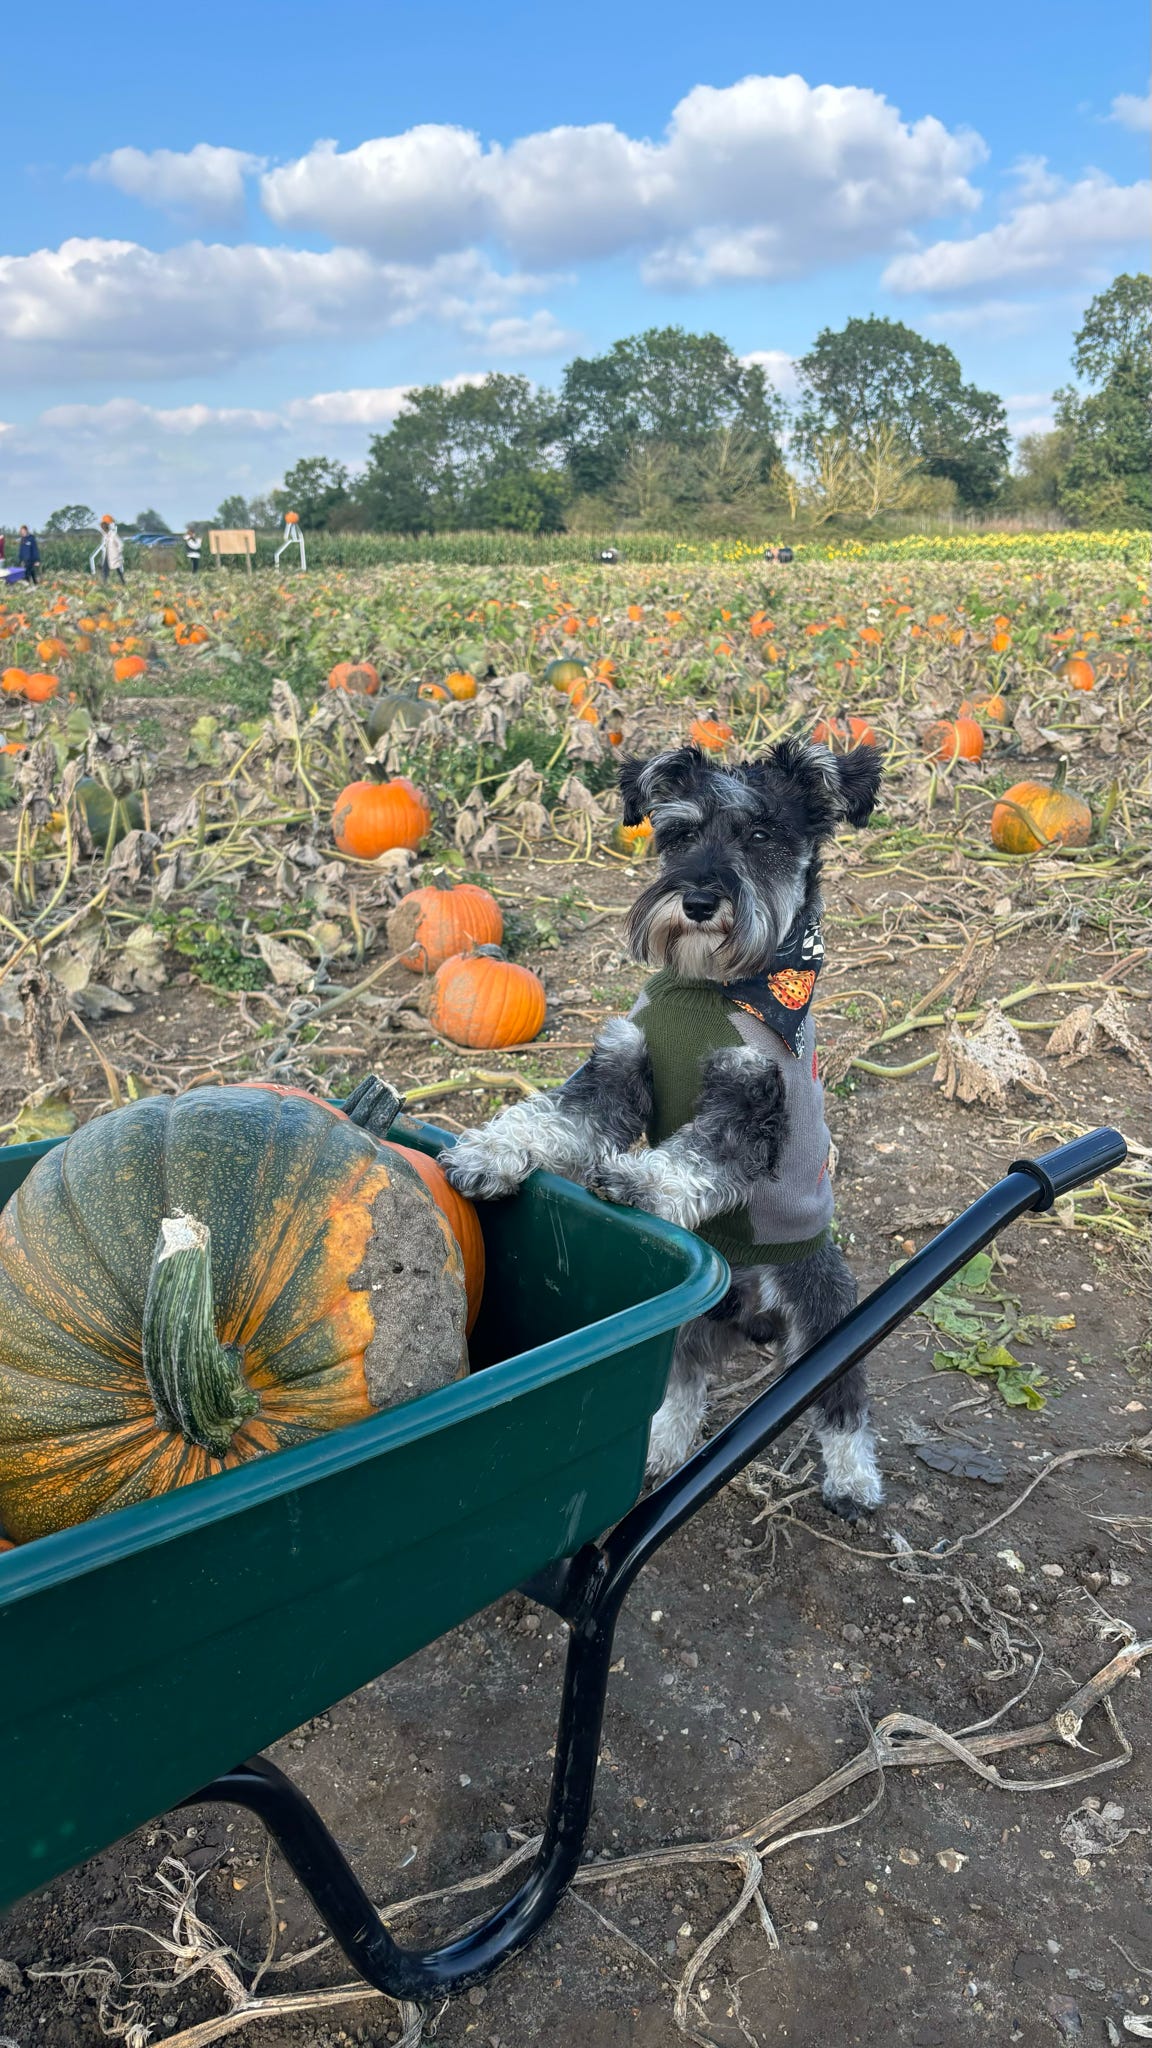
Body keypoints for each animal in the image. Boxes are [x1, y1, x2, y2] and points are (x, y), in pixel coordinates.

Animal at [444, 737, 881, 1523]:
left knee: (841, 1397)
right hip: (689, 1325)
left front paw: (637, 1185)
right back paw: (660, 1451)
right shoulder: (617, 1075)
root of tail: (749, 1306)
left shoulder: (748, 1111)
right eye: (678, 833)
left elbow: (695, 1158)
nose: (700, 901)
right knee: (679, 1381)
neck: (710, 988)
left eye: (762, 834)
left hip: (825, 1312)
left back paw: (854, 1480)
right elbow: (552, 1117)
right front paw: (489, 1154)